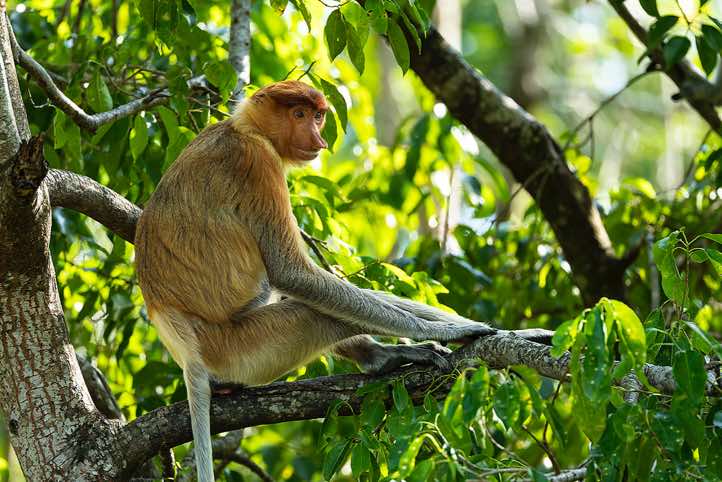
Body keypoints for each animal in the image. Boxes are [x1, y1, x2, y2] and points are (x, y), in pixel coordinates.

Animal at [134, 80, 497, 482]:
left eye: (318, 116)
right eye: (299, 114)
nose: (319, 138)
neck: (246, 128)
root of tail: (184, 346)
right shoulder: (258, 163)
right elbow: (289, 272)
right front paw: (448, 331)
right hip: (237, 349)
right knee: (313, 314)